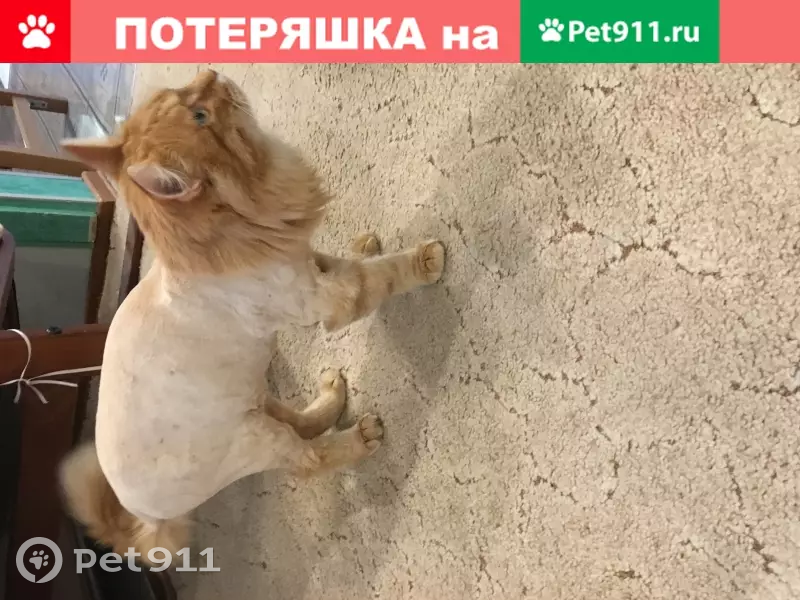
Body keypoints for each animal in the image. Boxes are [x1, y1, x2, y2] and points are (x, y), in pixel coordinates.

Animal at [58, 70, 445, 564]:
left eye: (183, 94)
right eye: (199, 115)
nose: (212, 73)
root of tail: (145, 522)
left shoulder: (303, 264)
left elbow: (340, 259)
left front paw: (365, 245)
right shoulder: (325, 298)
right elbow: (380, 275)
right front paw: (424, 261)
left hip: (254, 398)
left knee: (302, 422)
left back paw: (334, 396)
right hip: (254, 438)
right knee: (309, 458)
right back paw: (361, 437)